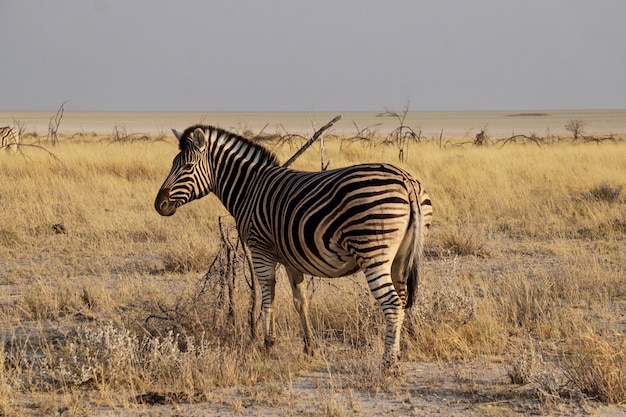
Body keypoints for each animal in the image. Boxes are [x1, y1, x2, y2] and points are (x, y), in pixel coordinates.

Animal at [154, 124, 432, 368]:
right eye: (173, 165)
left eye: (187, 167)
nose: (159, 204)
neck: (249, 189)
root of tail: (406, 180)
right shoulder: (290, 257)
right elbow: (301, 301)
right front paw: (309, 347)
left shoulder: (261, 250)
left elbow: (268, 297)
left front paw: (267, 345)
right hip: (400, 257)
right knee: (402, 300)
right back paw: (398, 353)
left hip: (373, 252)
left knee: (392, 304)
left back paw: (388, 364)